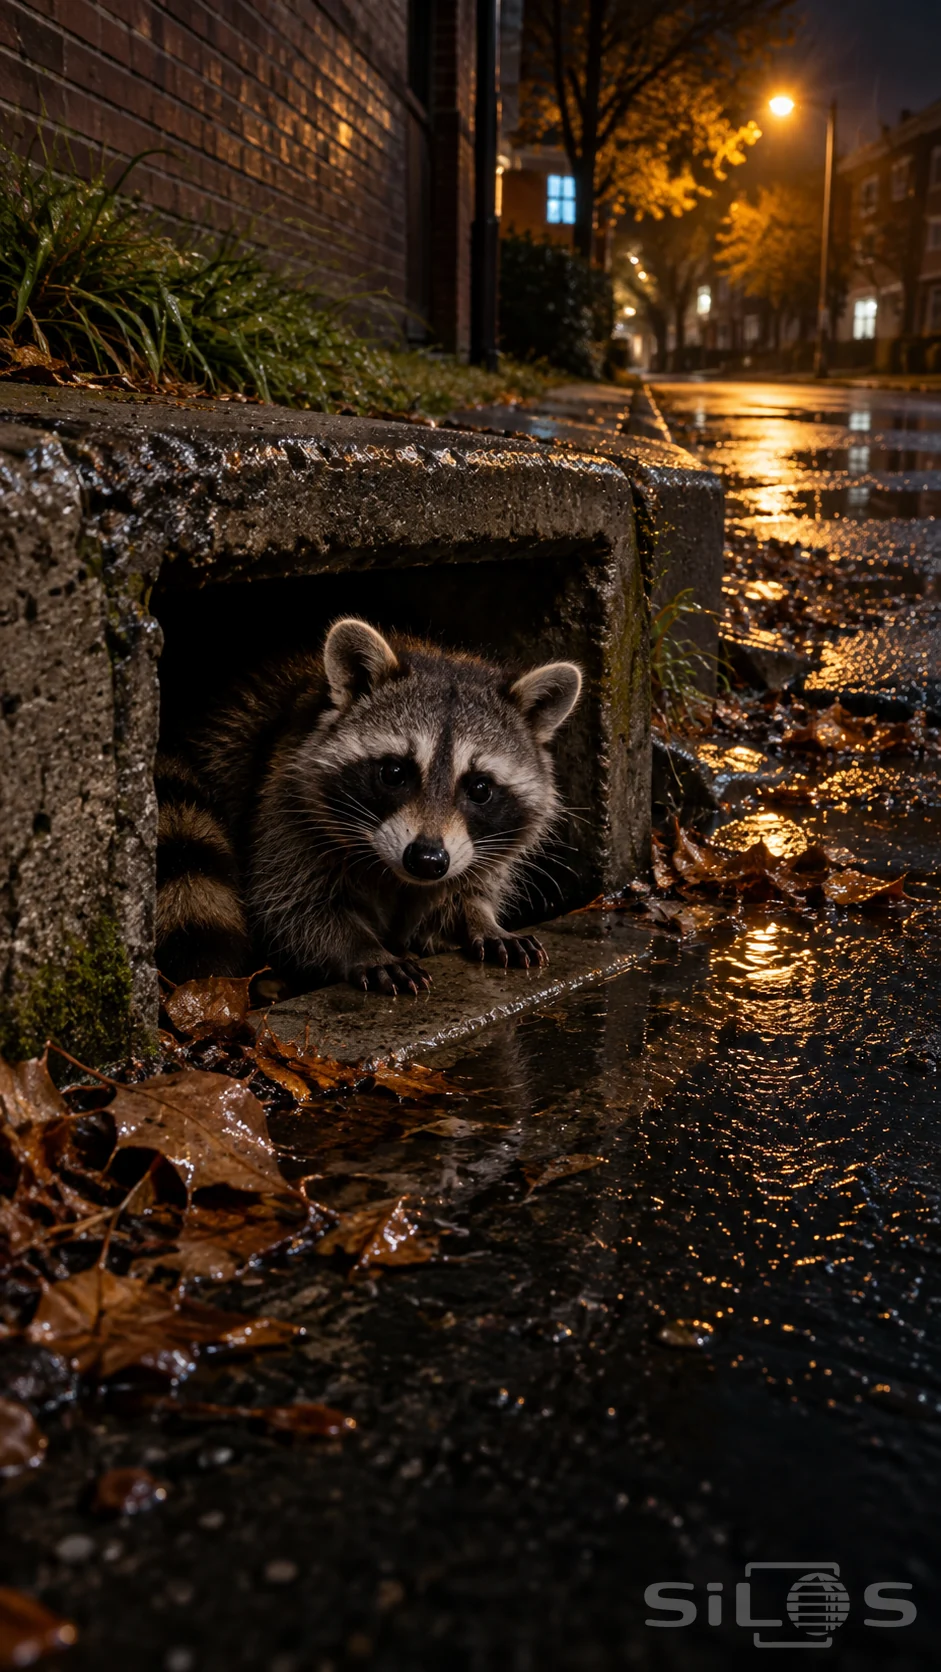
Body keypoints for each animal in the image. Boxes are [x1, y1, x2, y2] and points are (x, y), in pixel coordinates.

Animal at [156, 619, 582, 994]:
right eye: (394, 772)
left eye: (479, 789)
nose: (427, 860)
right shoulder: (282, 803)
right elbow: (292, 906)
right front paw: (362, 948)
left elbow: (470, 887)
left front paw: (481, 918)